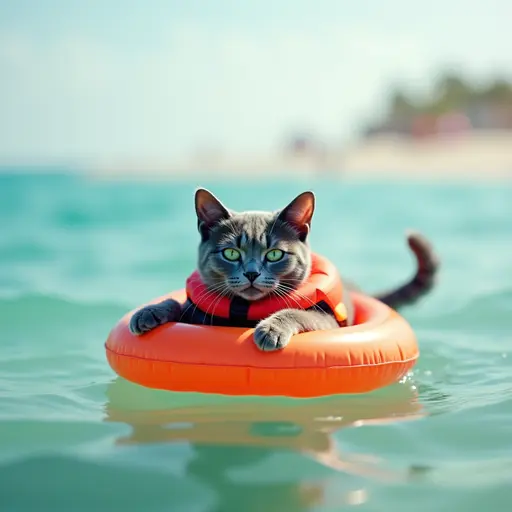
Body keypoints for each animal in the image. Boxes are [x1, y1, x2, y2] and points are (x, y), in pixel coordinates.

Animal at [130, 188, 438, 352]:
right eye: (231, 253)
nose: (251, 273)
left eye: (275, 254)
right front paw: (148, 312)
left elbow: (296, 311)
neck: (243, 312)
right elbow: (177, 303)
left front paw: (271, 329)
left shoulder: (326, 321)